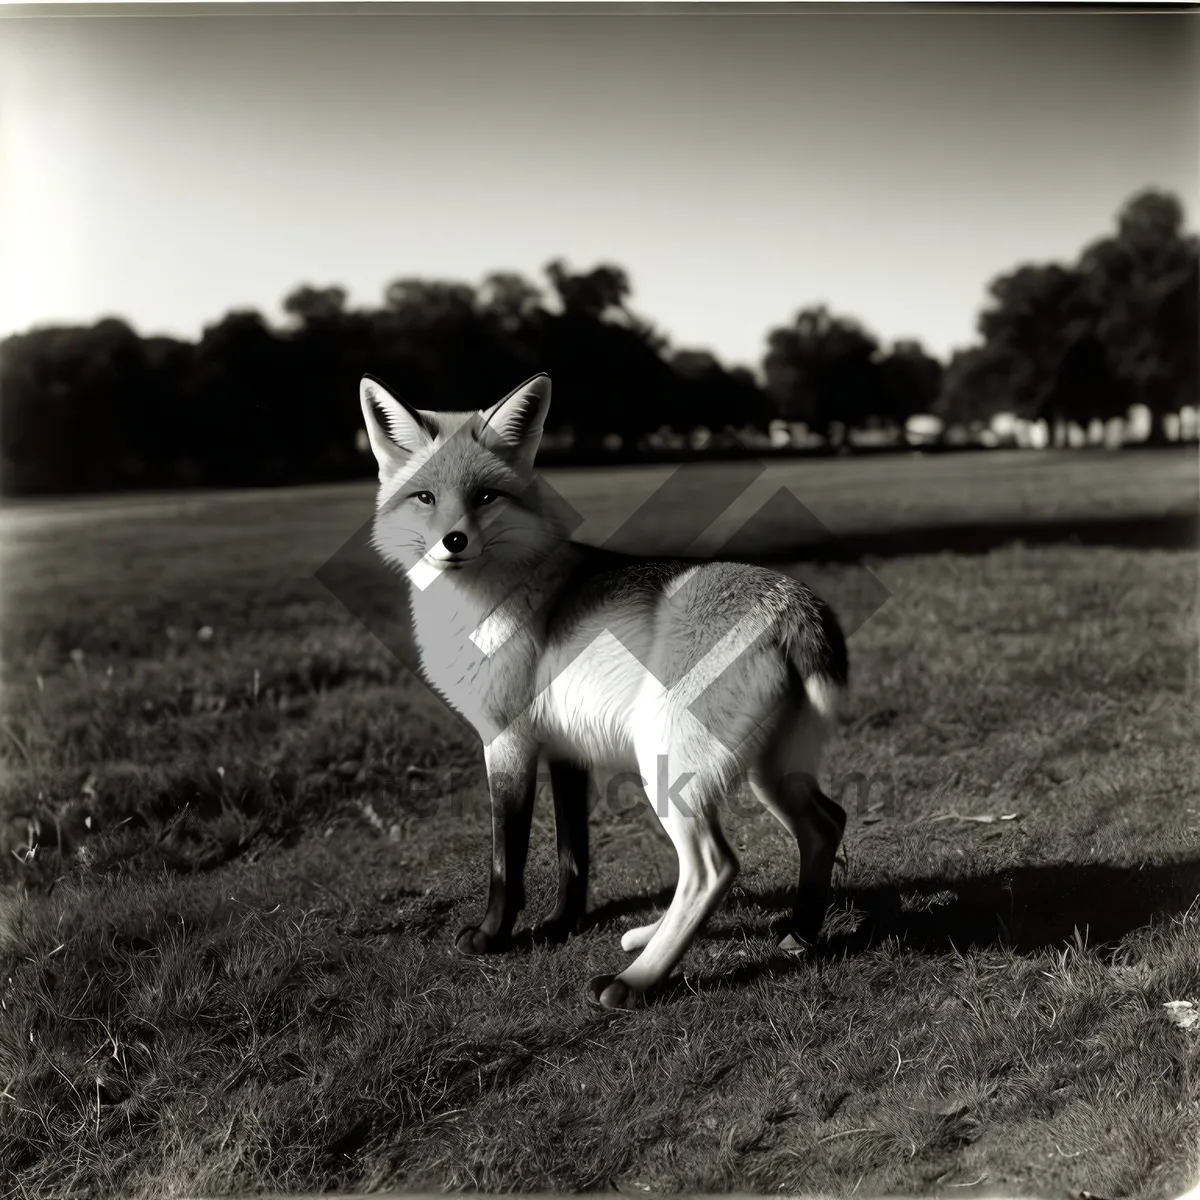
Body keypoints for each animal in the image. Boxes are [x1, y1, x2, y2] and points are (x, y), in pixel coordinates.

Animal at [360, 369, 849, 1008]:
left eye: (485, 497)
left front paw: (492, 937)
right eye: (425, 498)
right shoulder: (566, 750)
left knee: (713, 868)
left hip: (667, 764)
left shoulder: (507, 741)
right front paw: (562, 926)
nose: (454, 542)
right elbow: (574, 854)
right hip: (771, 771)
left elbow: (505, 857)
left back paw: (635, 982)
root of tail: (793, 601)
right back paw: (796, 934)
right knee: (828, 822)